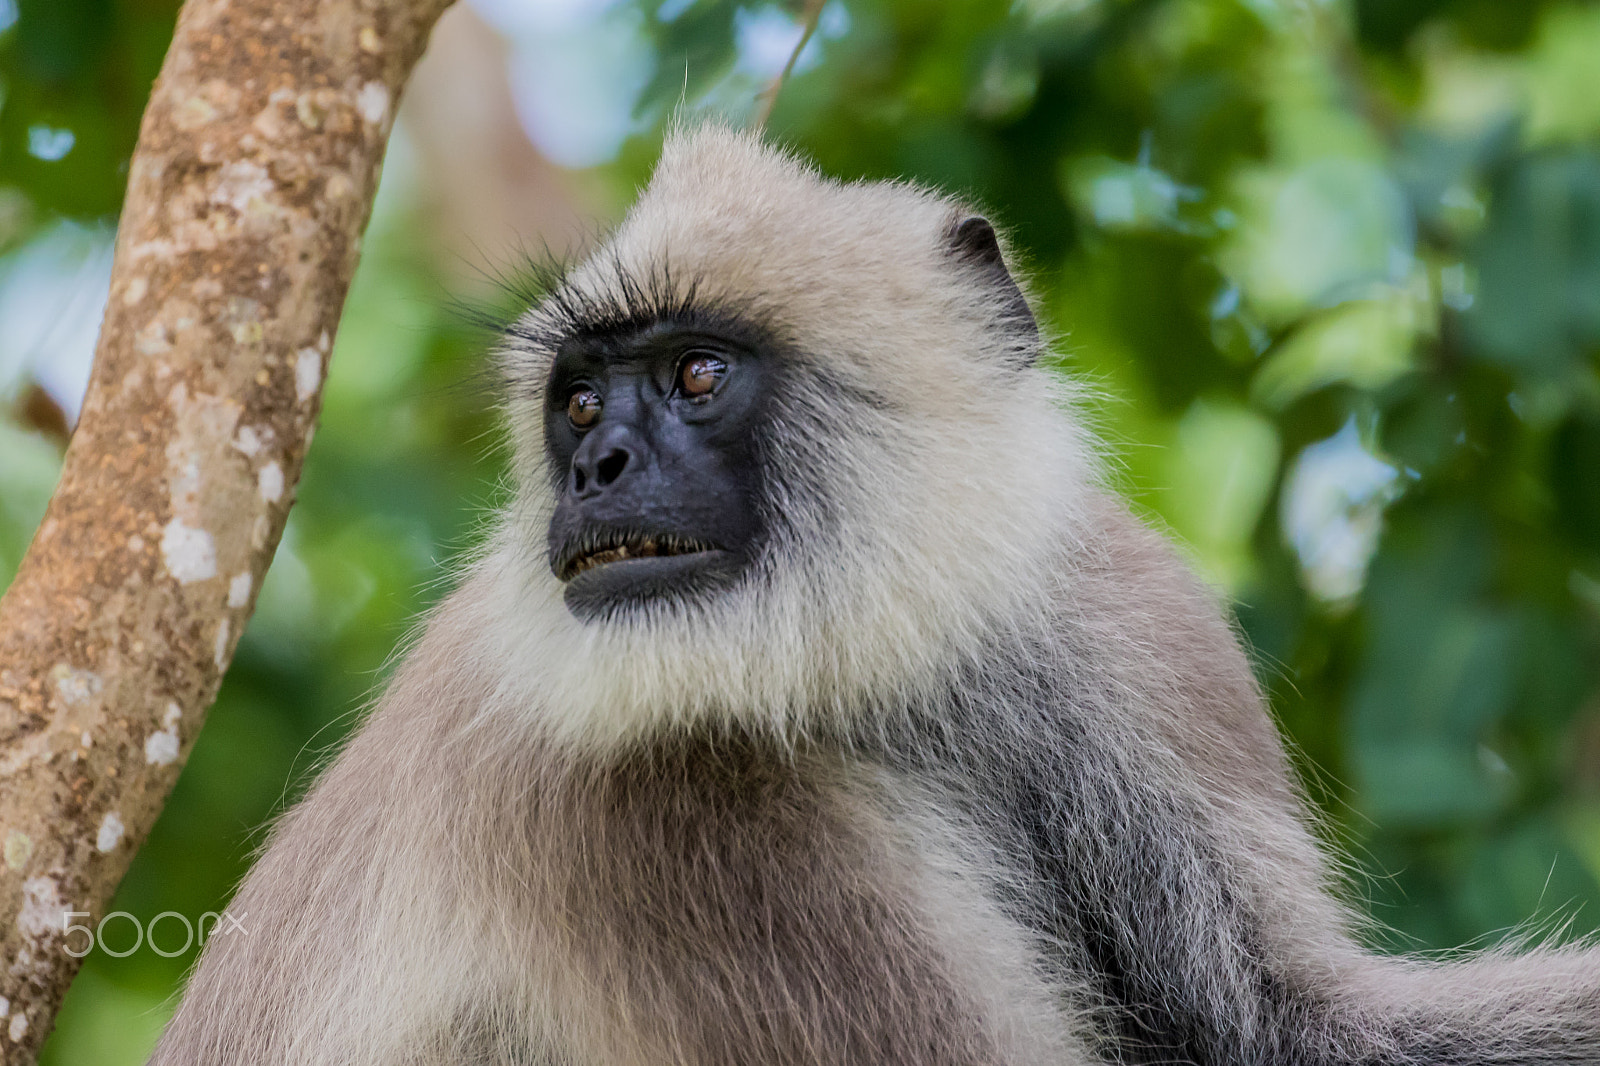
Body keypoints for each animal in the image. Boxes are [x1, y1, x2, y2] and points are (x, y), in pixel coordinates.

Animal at [150, 126, 1600, 1062]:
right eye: (579, 405)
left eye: (693, 374)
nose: (600, 467)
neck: (855, 660)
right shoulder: (667, 812)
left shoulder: (1117, 619)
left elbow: (1287, 1024)